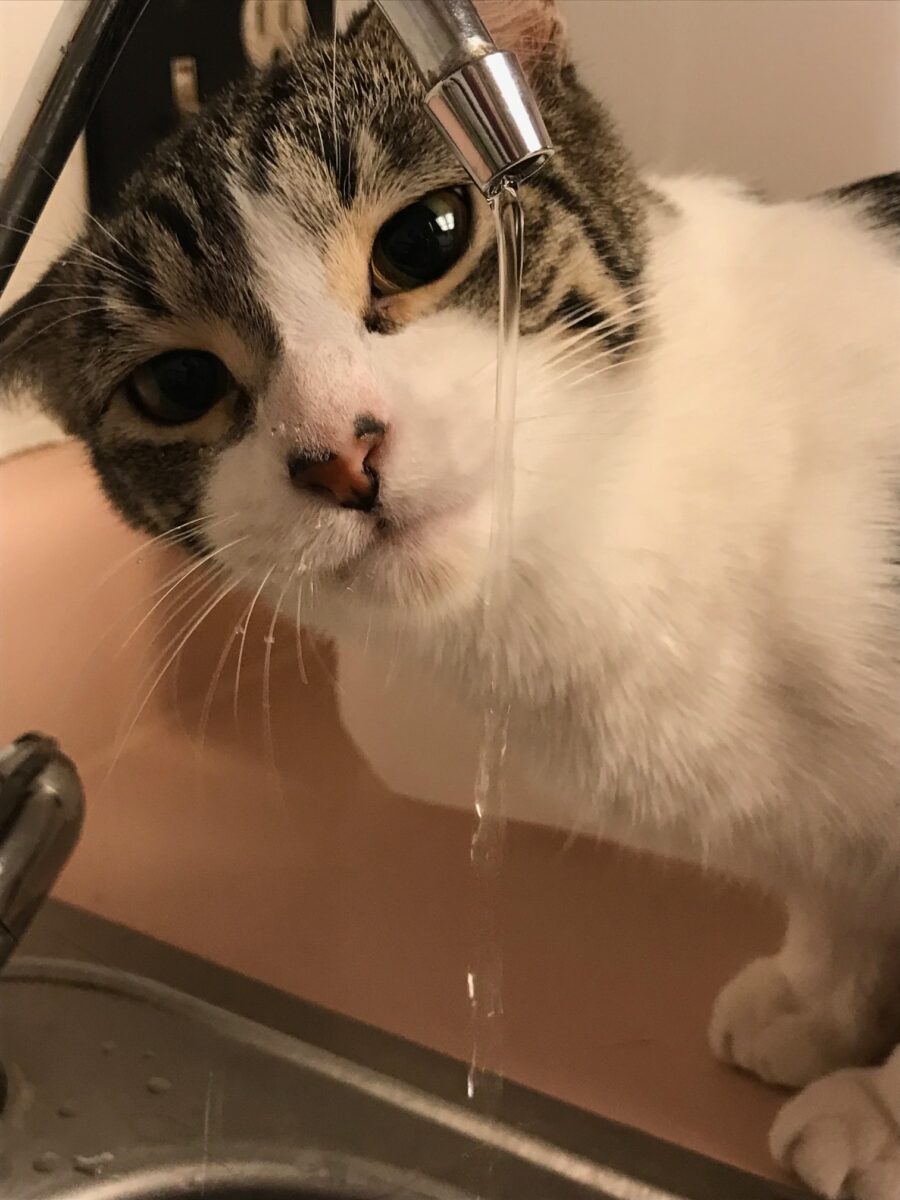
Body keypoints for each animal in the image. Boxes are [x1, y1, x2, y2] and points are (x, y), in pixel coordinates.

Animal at [1, 4, 900, 1195]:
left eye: (425, 237)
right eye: (178, 384)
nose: (341, 456)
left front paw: (879, 1117)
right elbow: (844, 891)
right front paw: (821, 1004)